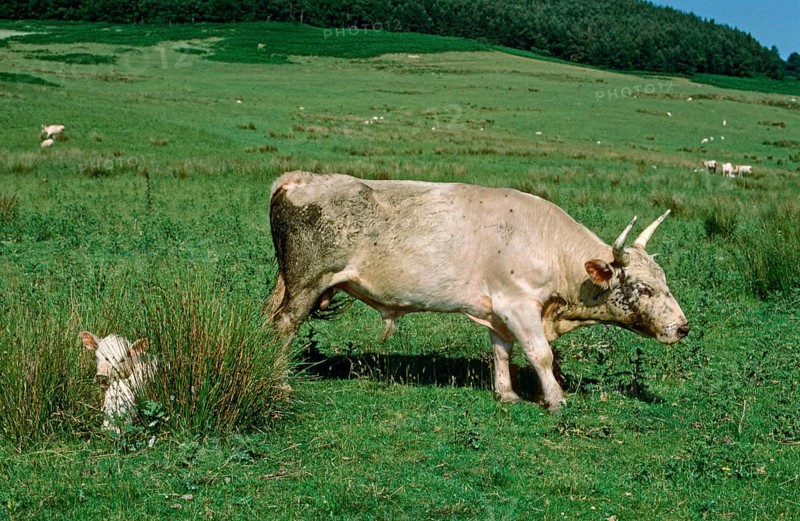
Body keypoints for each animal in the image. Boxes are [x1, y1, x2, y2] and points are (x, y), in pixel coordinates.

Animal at [265, 171, 689, 411]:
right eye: (642, 288)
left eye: (664, 280)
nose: (683, 327)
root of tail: (300, 177)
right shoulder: (519, 304)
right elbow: (541, 354)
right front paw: (555, 399)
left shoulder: (498, 310)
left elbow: (502, 352)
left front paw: (506, 394)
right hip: (306, 282)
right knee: (285, 325)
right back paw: (279, 381)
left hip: (291, 282)